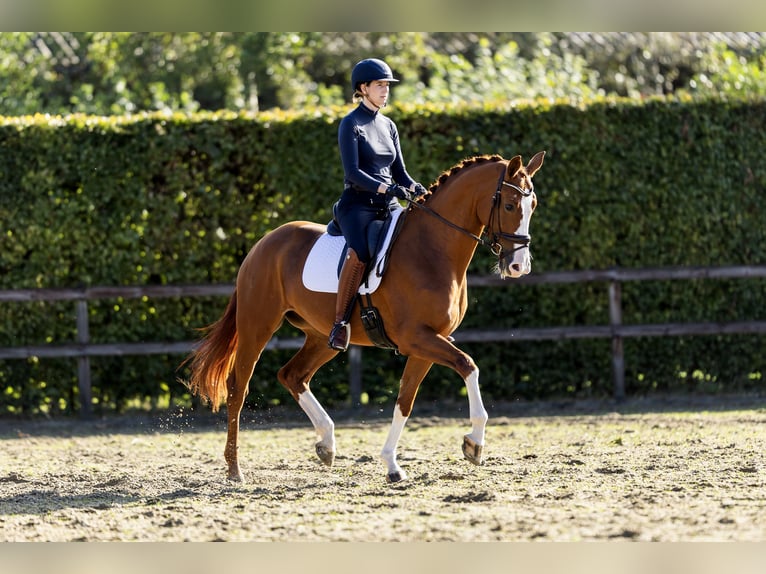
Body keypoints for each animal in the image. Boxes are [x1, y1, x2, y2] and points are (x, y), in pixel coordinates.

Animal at [184, 151, 544, 484]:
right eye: (510, 205)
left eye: (533, 205)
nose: (518, 266)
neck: (431, 250)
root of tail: (264, 243)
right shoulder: (417, 338)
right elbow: (468, 365)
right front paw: (474, 445)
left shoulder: (427, 343)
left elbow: (405, 401)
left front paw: (392, 465)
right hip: (257, 326)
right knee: (238, 388)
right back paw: (235, 469)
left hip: (323, 337)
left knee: (292, 375)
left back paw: (326, 444)